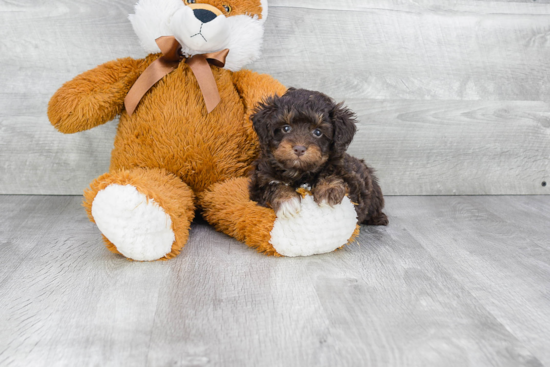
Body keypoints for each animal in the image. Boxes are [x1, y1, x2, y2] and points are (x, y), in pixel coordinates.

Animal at [250, 88, 388, 227]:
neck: (300, 172)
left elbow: (333, 175)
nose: (299, 149)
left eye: (318, 132)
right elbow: (274, 185)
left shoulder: (351, 179)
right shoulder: (260, 181)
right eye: (286, 128)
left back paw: (379, 218)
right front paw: (288, 201)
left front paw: (328, 191)